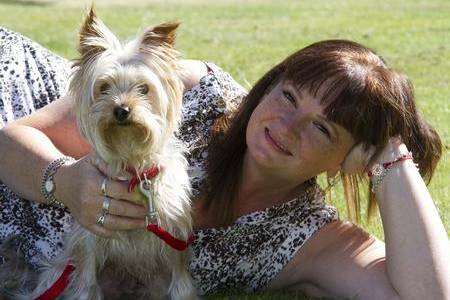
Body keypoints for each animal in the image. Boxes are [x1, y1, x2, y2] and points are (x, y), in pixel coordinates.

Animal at [25, 7, 196, 300]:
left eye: (144, 89)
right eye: (103, 87)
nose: (121, 110)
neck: (132, 162)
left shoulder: (174, 234)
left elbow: (180, 283)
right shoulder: (89, 239)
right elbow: (86, 284)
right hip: (59, 271)